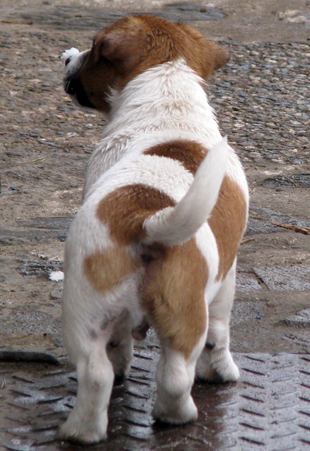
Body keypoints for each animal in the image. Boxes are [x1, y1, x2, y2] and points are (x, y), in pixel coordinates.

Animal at [59, 14, 248, 444]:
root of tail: (145, 219)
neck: (168, 99)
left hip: (85, 310)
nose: (66, 57)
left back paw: (82, 431)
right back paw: (176, 415)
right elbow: (221, 333)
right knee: (175, 373)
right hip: (184, 312)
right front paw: (221, 371)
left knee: (97, 373)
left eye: (92, 48)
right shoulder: (226, 277)